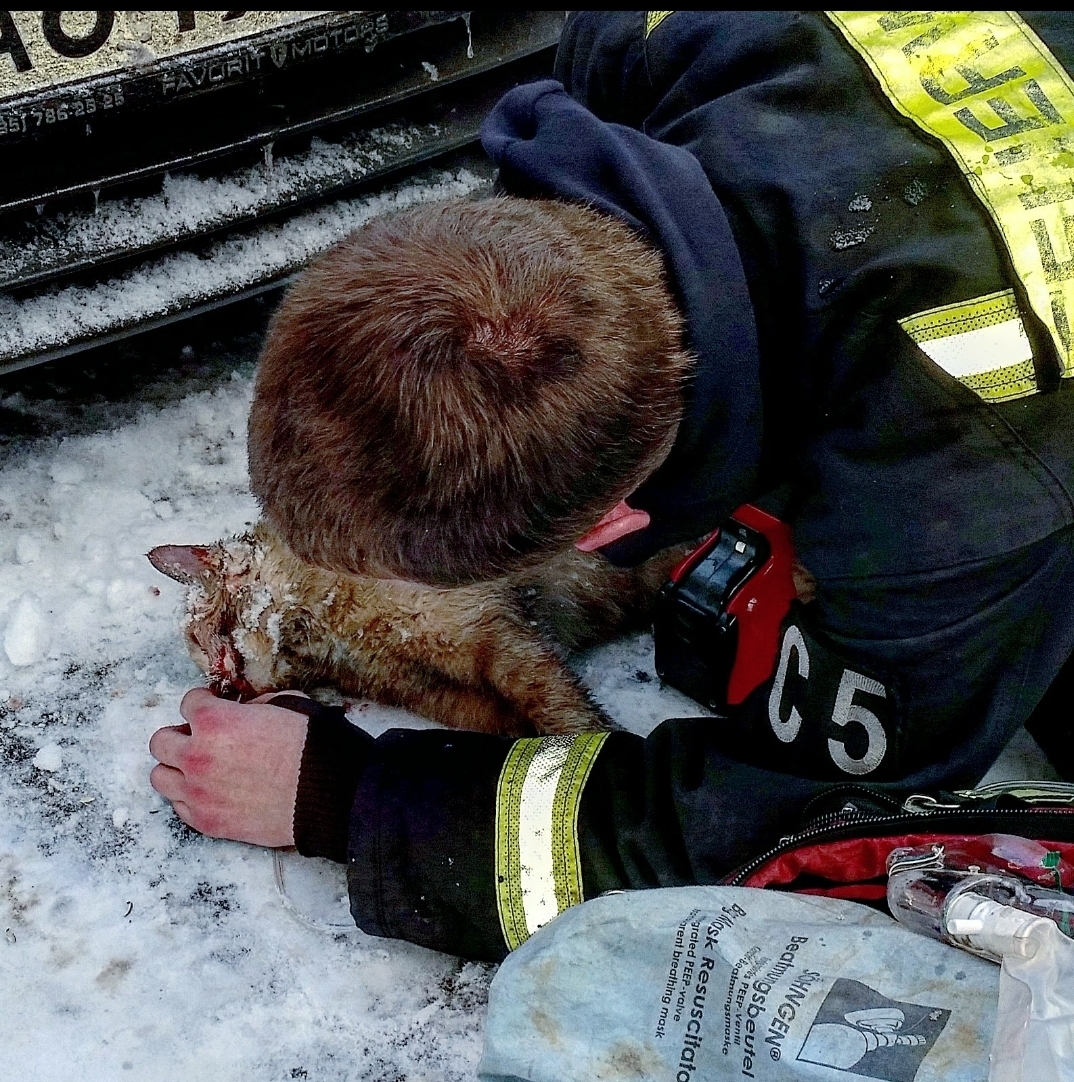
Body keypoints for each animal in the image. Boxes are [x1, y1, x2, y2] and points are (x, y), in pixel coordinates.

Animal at [148, 521, 679, 735]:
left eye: (208, 636)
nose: (224, 687)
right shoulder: (447, 692)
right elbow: (522, 726)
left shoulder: (499, 635)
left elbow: (560, 712)